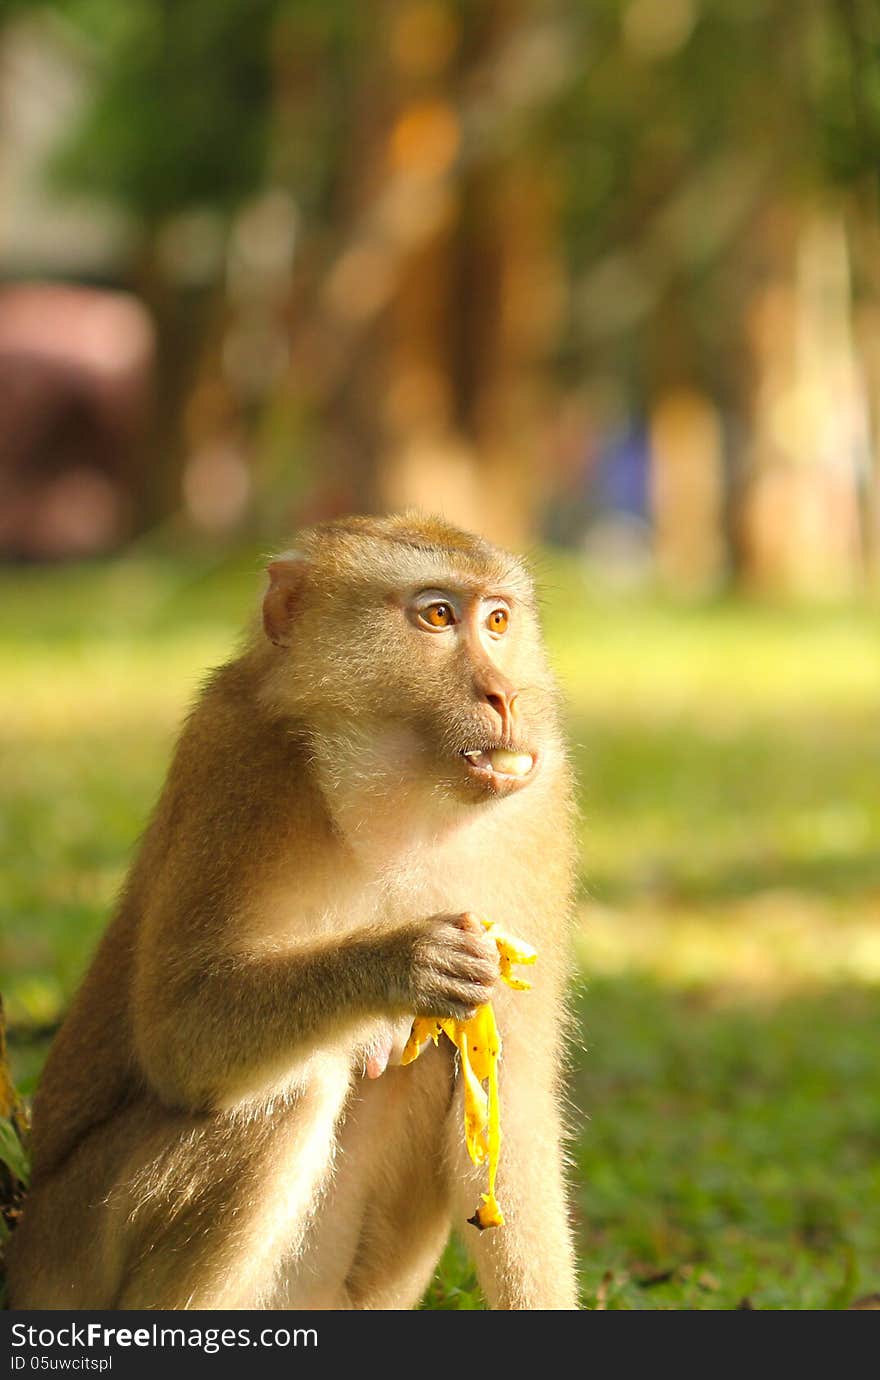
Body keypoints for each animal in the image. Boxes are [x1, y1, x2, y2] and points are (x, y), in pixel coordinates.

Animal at [8, 513, 584, 1308]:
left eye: (498, 620)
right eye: (438, 615)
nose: (506, 696)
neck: (396, 799)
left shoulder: (538, 809)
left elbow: (514, 1101)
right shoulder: (240, 763)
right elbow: (181, 1038)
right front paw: (404, 962)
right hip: (73, 1249)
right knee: (295, 1091)